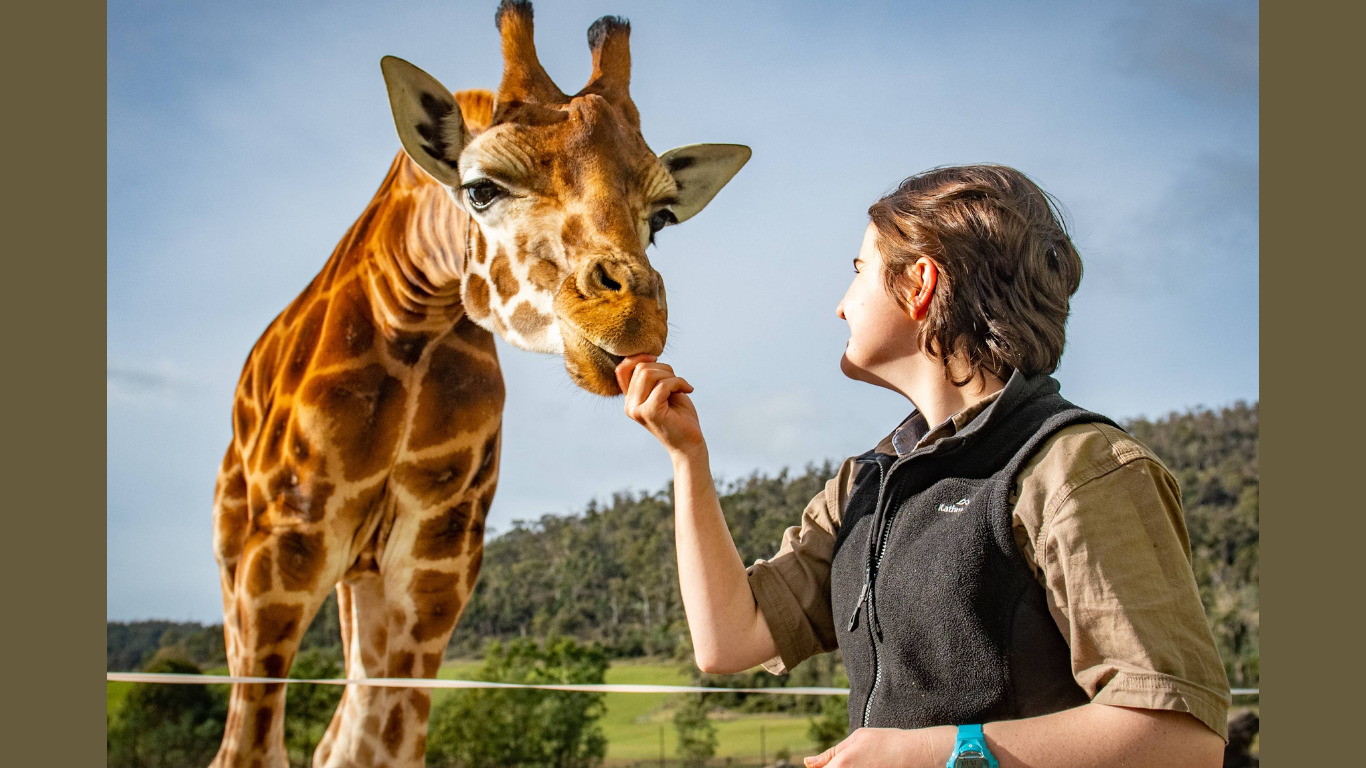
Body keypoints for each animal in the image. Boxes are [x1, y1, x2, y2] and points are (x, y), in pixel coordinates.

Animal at [207, 2, 754, 759]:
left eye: (662, 218)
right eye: (481, 188)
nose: (632, 316)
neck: (415, 315)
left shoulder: (437, 562)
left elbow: (380, 745)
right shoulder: (285, 543)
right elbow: (251, 749)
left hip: (361, 579)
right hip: (239, 558)